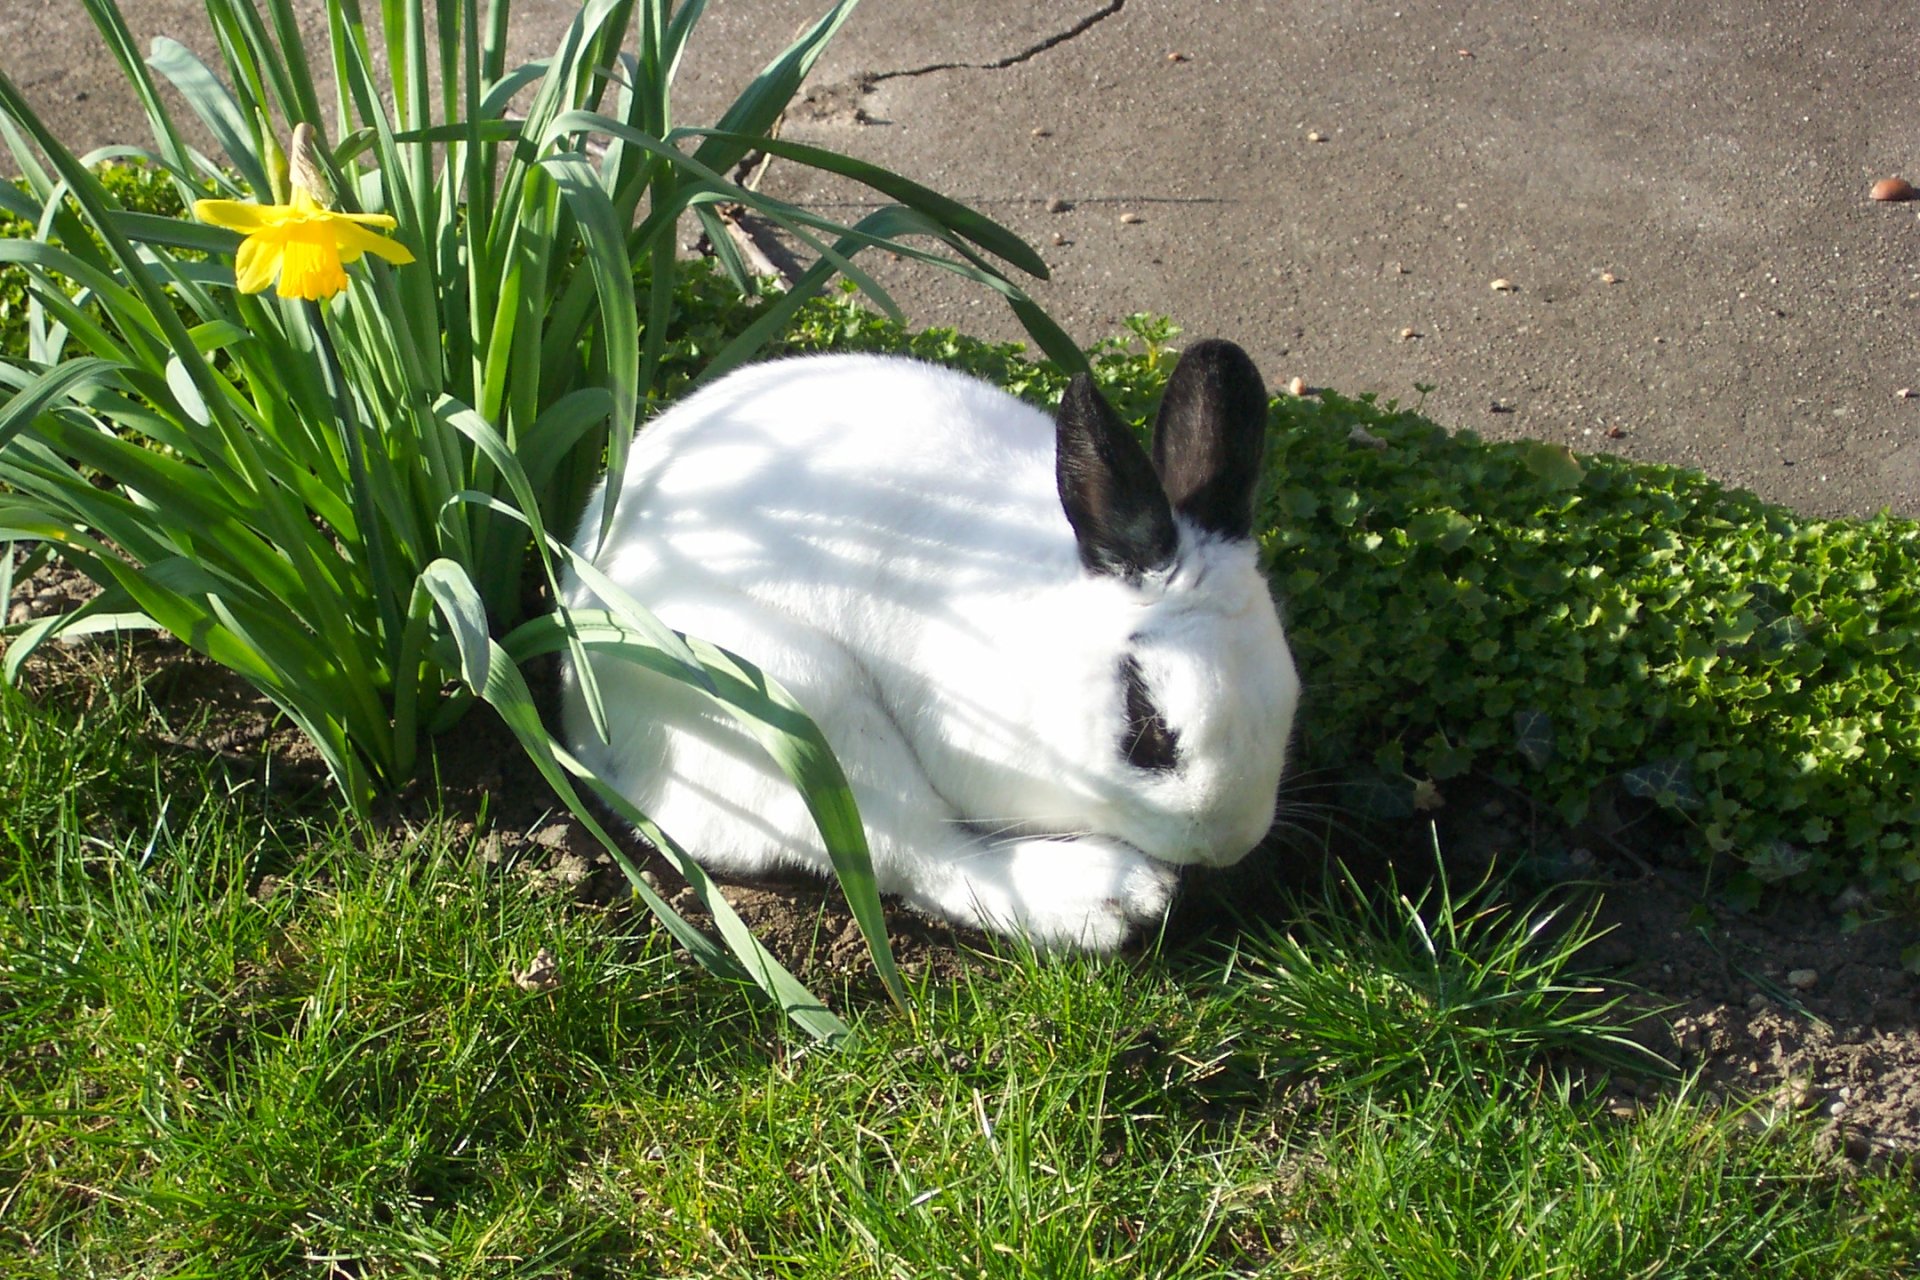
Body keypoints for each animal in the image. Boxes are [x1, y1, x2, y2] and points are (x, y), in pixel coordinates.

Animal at [557, 339, 1300, 950]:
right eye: (1146, 728)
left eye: (1290, 697)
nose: (1224, 844)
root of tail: (585, 723)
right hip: (795, 708)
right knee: (922, 855)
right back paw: (1111, 898)